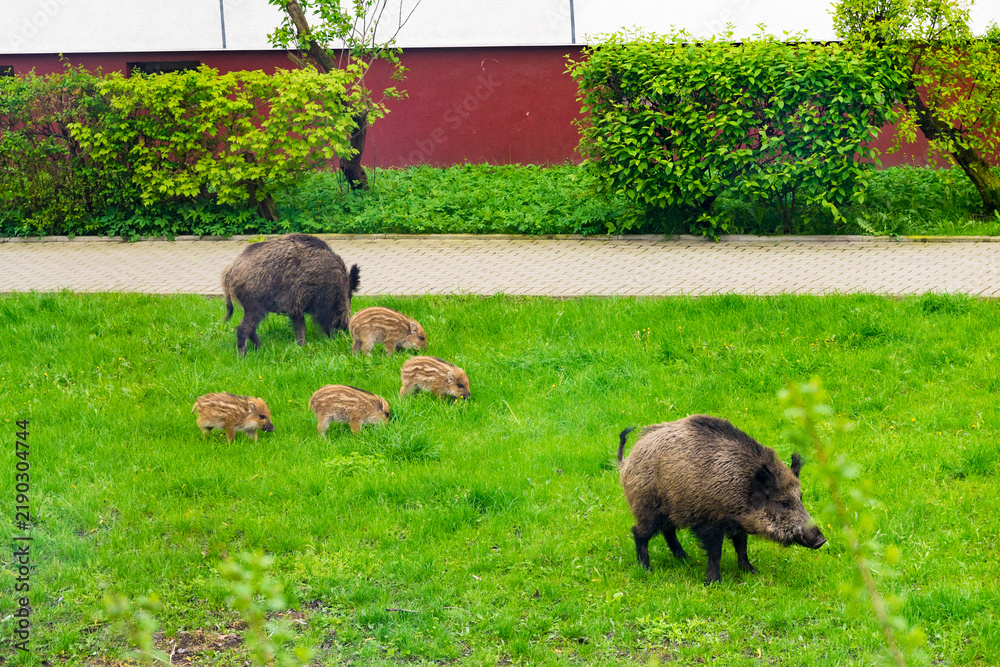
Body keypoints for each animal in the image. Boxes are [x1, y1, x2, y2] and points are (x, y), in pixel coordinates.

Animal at [221, 233, 360, 356]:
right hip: (254, 305)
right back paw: (243, 356)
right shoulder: (321, 305)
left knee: (251, 329)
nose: (345, 329)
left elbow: (300, 327)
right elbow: (310, 326)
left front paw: (302, 346)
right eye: (350, 296)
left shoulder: (296, 307)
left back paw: (262, 348)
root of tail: (228, 273)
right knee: (242, 328)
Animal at [618, 415, 826, 584]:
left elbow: (742, 547)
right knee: (639, 533)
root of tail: (626, 461)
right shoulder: (710, 523)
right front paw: (714, 582)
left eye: (800, 498)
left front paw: (752, 572)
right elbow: (715, 553)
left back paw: (687, 559)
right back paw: (647, 569)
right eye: (784, 503)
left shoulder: (739, 524)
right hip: (646, 507)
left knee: (668, 531)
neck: (742, 488)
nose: (821, 540)